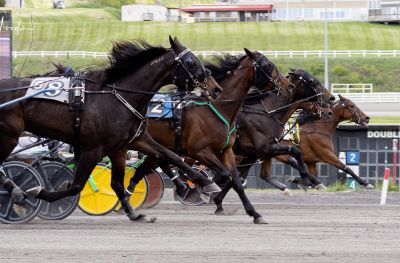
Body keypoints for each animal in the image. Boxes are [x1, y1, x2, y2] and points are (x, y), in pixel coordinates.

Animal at [0, 37, 220, 223]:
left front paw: (204, 183)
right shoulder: (93, 148)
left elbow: (166, 158)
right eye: (190, 62)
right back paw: (16, 192)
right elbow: (76, 186)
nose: (216, 88)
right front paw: (37, 193)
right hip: (9, 136)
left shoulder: (127, 144)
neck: (116, 97)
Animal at [128, 50, 294, 225]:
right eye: (267, 65)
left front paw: (255, 213)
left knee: (144, 169)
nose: (289, 85)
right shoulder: (200, 151)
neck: (217, 108)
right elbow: (222, 175)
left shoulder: (227, 150)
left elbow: (236, 182)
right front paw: (203, 190)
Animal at [211, 69, 336, 213]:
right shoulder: (265, 148)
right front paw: (305, 179)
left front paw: (218, 200)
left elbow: (234, 178)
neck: (268, 113)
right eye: (311, 80)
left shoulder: (253, 155)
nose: (331, 99)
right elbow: (296, 150)